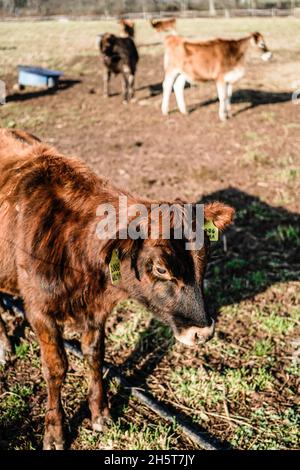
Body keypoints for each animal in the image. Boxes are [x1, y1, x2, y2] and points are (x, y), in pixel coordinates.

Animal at [0, 127, 234, 448]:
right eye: (161, 268)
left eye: (205, 257)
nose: (204, 332)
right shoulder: (39, 310)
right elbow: (56, 368)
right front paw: (55, 431)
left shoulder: (97, 310)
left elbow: (95, 356)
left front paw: (100, 413)